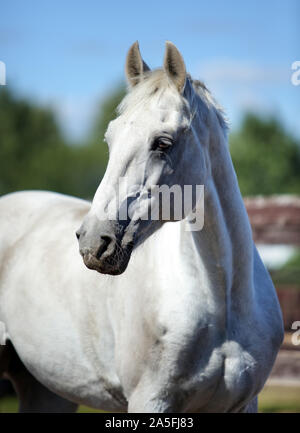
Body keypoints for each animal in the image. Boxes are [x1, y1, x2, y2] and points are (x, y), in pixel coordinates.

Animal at [0, 41, 284, 412]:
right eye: (110, 139)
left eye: (163, 143)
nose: (94, 243)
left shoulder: (244, 403)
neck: (223, 300)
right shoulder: (150, 400)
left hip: (46, 390)